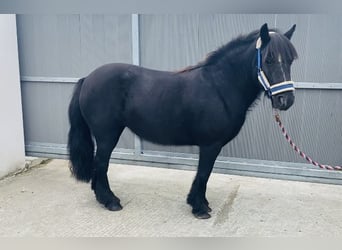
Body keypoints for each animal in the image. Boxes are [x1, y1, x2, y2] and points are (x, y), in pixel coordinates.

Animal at [68, 23, 298, 219]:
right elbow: (204, 173)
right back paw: (110, 201)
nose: (285, 100)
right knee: (101, 164)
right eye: (268, 59)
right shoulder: (210, 145)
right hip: (107, 136)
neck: (220, 86)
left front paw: (200, 203)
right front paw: (199, 208)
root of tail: (87, 79)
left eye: (290, 60)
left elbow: (204, 175)